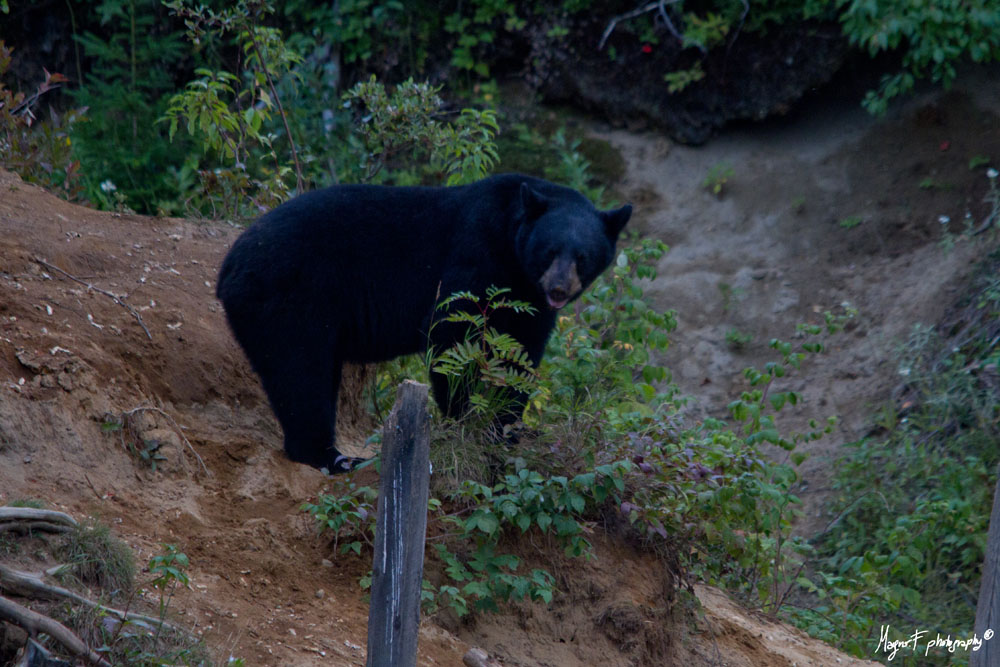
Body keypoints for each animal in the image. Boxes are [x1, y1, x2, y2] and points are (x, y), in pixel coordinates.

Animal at [216, 173, 631, 472]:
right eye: (549, 251)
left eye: (583, 256)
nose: (559, 288)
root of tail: (229, 267)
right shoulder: (477, 253)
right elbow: (452, 331)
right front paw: (469, 422)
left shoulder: (529, 300)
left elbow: (520, 353)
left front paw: (507, 427)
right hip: (290, 298)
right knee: (301, 372)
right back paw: (331, 457)